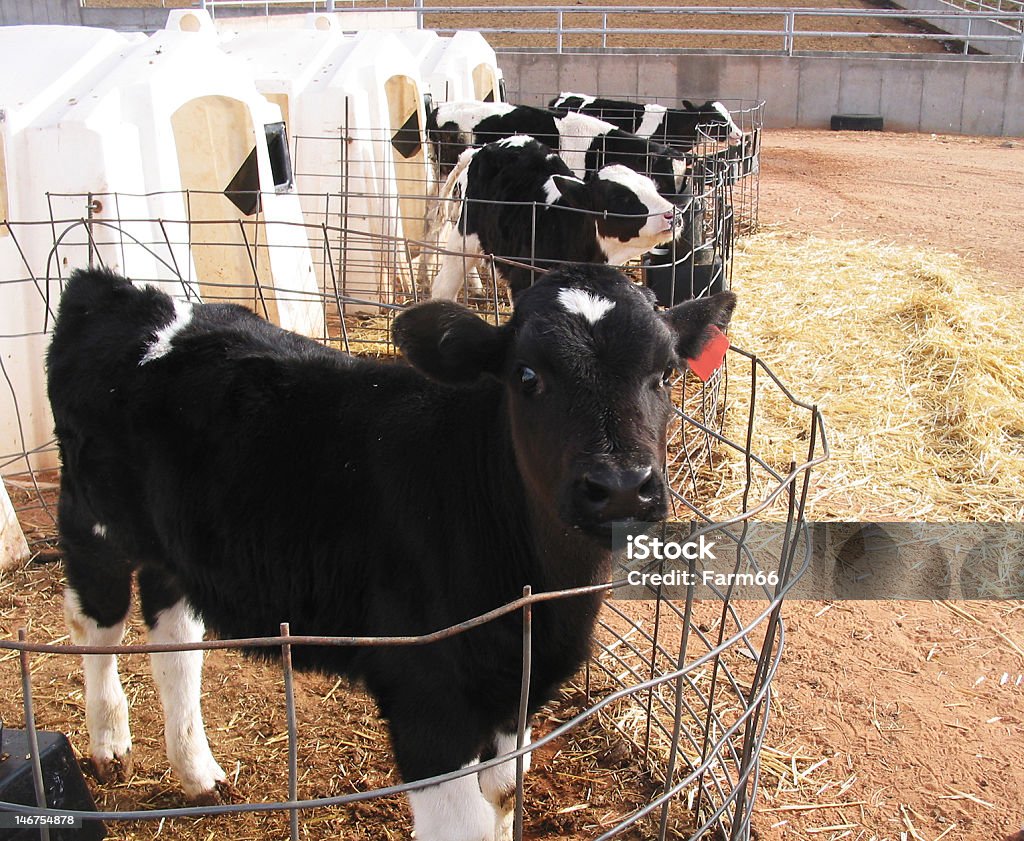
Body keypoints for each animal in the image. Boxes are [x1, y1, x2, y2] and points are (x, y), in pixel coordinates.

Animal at [48, 266, 737, 839]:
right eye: (527, 377)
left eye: (665, 372)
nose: (621, 486)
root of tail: (115, 291)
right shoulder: (426, 700)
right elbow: (464, 824)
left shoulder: (510, 695)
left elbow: (502, 798)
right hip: (93, 521)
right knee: (96, 624)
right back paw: (109, 745)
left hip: (177, 544)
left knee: (175, 639)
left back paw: (197, 772)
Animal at [428, 139, 684, 303]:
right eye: (621, 198)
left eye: (653, 187)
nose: (675, 214)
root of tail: (481, 149)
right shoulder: (525, 280)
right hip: (466, 233)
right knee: (444, 285)